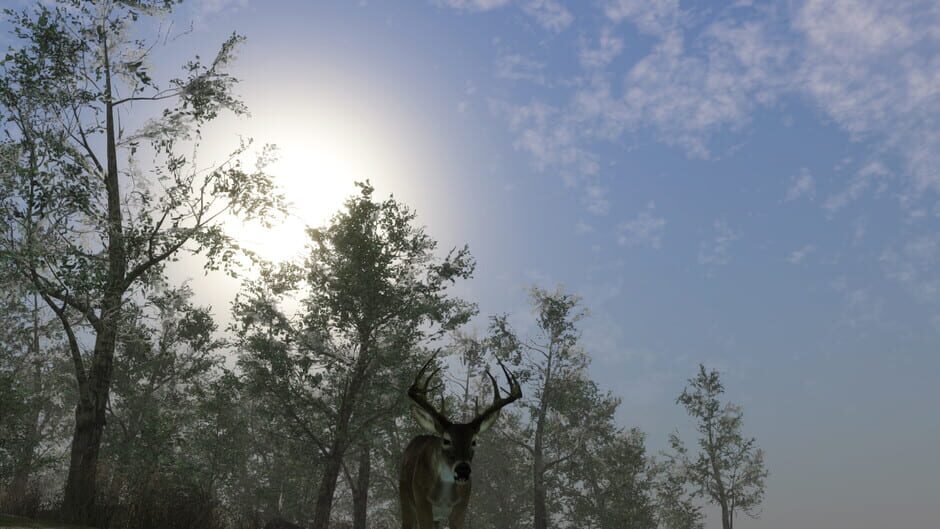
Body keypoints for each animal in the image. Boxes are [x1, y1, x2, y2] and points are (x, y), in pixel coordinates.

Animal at [399, 354, 522, 529]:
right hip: (405, 497)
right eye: (446, 440)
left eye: (474, 441)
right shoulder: (421, 500)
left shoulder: (462, 504)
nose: (463, 469)